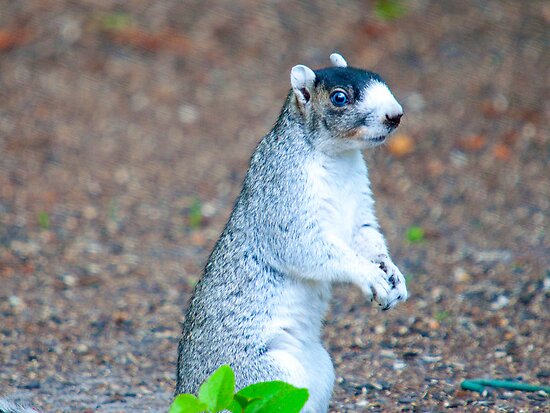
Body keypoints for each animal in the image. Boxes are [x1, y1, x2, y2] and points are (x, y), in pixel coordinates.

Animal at [177, 53, 410, 410]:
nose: (395, 115)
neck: (339, 158)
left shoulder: (360, 212)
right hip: (265, 375)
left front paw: (393, 275)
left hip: (318, 372)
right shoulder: (283, 197)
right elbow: (305, 248)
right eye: (339, 98)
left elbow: (368, 239)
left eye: (381, 78)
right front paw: (369, 276)